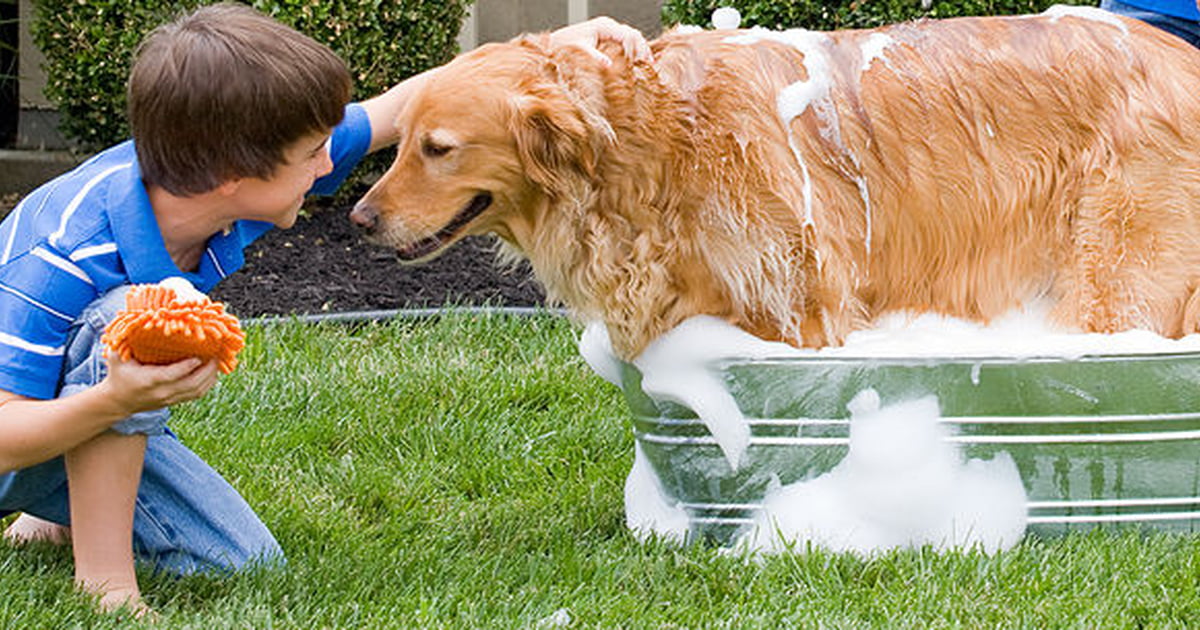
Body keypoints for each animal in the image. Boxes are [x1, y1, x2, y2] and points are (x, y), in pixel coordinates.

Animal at [350, 8, 1200, 357]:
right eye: (403, 143)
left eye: (438, 149)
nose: (358, 219)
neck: (657, 142)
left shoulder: (803, 311)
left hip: (1117, 281)